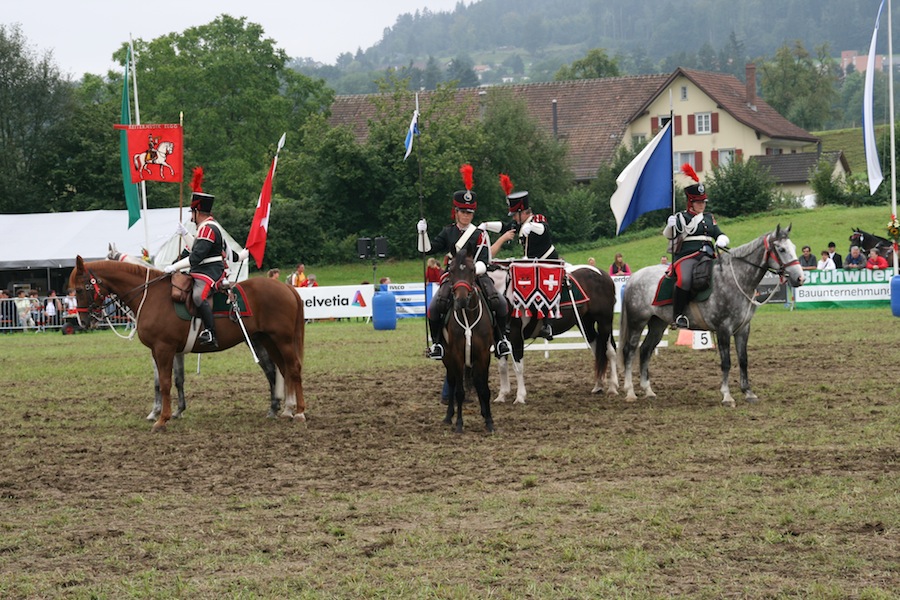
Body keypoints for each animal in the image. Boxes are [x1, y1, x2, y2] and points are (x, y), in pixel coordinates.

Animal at [67, 258, 306, 432]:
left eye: (80, 289)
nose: (83, 321)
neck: (150, 296)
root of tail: (287, 288)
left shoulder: (163, 349)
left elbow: (165, 383)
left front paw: (162, 419)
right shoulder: (165, 351)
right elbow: (172, 381)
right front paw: (171, 412)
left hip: (281, 340)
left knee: (292, 368)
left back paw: (299, 412)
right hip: (268, 340)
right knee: (283, 370)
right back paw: (286, 409)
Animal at [444, 246, 496, 434]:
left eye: (472, 270)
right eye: (451, 270)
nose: (461, 300)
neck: (468, 315)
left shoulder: (483, 355)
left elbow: (484, 388)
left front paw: (489, 421)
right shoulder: (457, 355)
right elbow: (459, 391)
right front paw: (459, 423)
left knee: (477, 381)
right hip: (447, 358)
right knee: (452, 382)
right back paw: (448, 417)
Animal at [488, 262, 616, 404]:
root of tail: (603, 274)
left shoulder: (516, 337)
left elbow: (518, 367)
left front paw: (520, 396)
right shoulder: (499, 339)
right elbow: (502, 366)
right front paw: (502, 395)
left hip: (605, 322)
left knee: (610, 351)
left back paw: (613, 387)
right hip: (586, 323)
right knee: (598, 351)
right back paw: (598, 386)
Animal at [624, 226, 804, 408]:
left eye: (794, 247)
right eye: (781, 249)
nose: (800, 278)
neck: (736, 278)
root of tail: (634, 277)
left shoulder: (743, 328)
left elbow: (743, 360)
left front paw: (748, 392)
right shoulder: (723, 328)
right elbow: (726, 362)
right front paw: (727, 396)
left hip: (657, 325)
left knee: (645, 350)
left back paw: (648, 391)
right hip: (637, 322)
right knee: (630, 351)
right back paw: (630, 392)